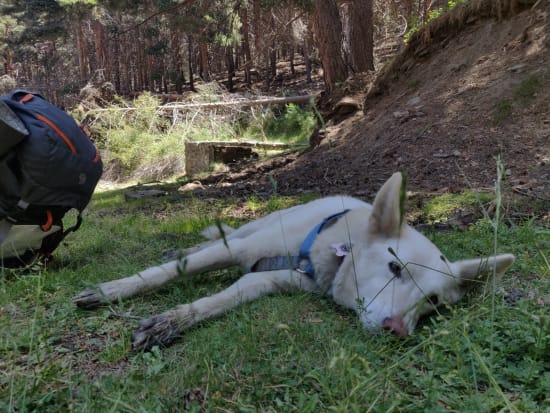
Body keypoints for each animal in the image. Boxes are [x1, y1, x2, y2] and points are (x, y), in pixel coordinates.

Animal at [74, 172, 516, 350]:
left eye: (433, 303)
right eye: (396, 268)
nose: (398, 331)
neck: (334, 252)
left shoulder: (275, 279)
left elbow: (228, 295)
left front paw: (173, 320)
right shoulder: (239, 252)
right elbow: (162, 274)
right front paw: (113, 290)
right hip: (254, 228)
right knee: (216, 241)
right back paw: (181, 250)